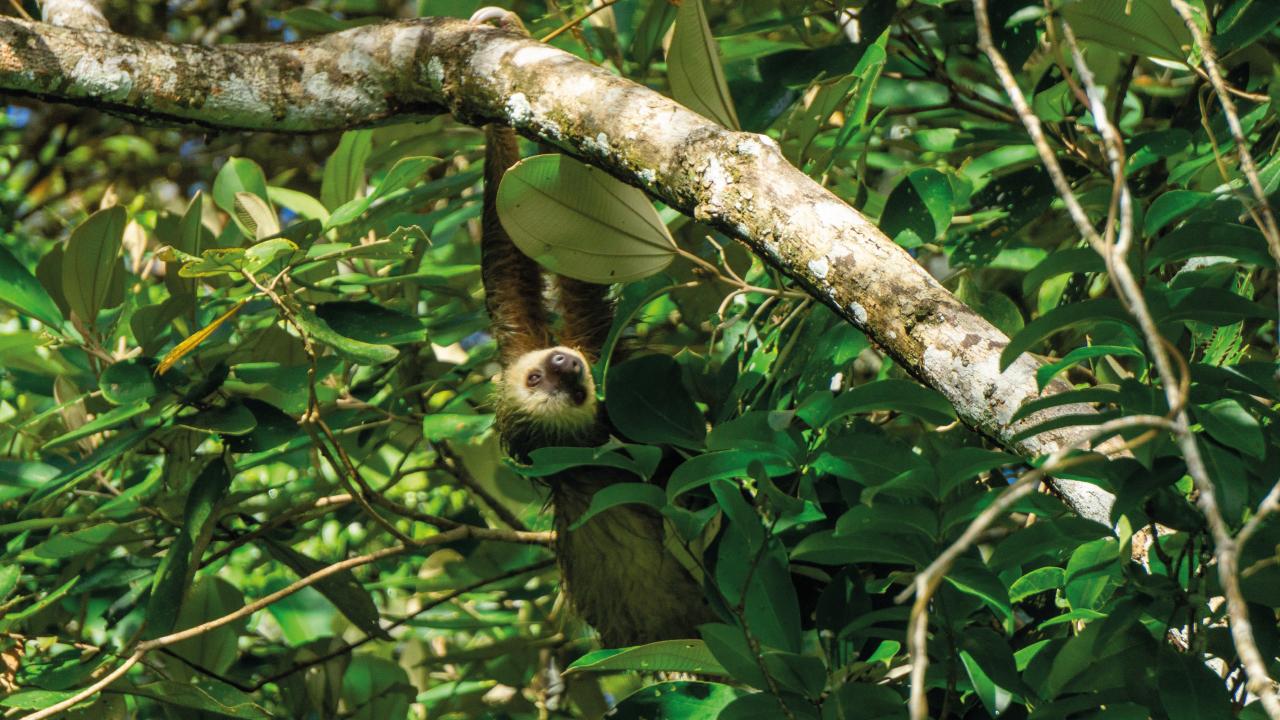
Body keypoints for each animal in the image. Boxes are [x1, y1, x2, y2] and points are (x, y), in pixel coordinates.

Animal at [470, 8, 715, 648]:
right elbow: (585, 296)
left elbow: (508, 268)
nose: (562, 363)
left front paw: (501, 32)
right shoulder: (626, 421)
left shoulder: (520, 343)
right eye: (549, 388)